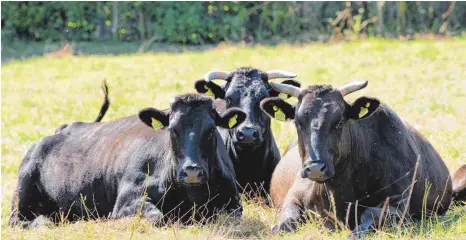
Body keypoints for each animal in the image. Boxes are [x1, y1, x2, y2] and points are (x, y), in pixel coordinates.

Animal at [9, 93, 246, 228]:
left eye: (211, 130)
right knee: (20, 221)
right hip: (22, 193)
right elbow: (157, 217)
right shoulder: (127, 200)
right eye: (173, 129)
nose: (192, 171)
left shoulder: (234, 204)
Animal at [258, 80, 452, 236]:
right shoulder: (294, 196)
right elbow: (285, 223)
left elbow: (370, 216)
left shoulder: (399, 203)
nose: (315, 168)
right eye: (297, 123)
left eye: (340, 122)